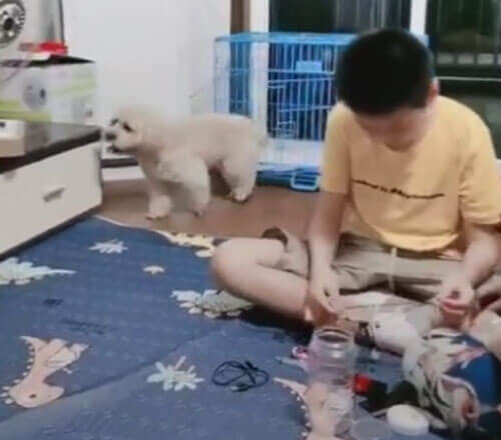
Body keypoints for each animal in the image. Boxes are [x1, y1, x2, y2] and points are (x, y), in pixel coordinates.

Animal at [105, 108, 265, 219]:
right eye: (114, 121)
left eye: (127, 127)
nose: (109, 134)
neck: (158, 143)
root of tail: (250, 125)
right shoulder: (157, 180)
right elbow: (160, 198)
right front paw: (157, 212)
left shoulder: (192, 168)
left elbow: (200, 188)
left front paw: (199, 208)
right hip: (227, 162)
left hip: (235, 162)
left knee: (246, 178)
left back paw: (242, 194)